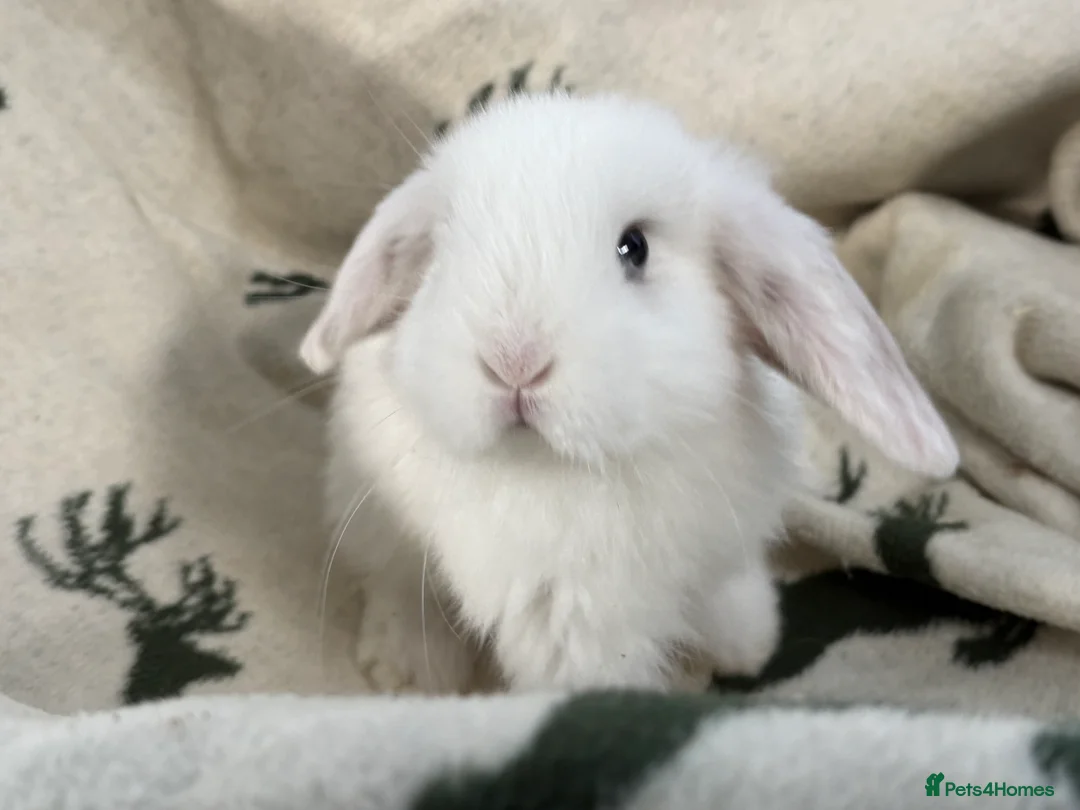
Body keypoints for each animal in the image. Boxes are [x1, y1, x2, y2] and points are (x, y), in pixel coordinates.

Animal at [299, 92, 959, 694]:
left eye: (634, 247)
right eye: (441, 253)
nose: (513, 362)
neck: (571, 471)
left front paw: (741, 645)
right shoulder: (569, 618)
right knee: (396, 584)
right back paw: (404, 670)